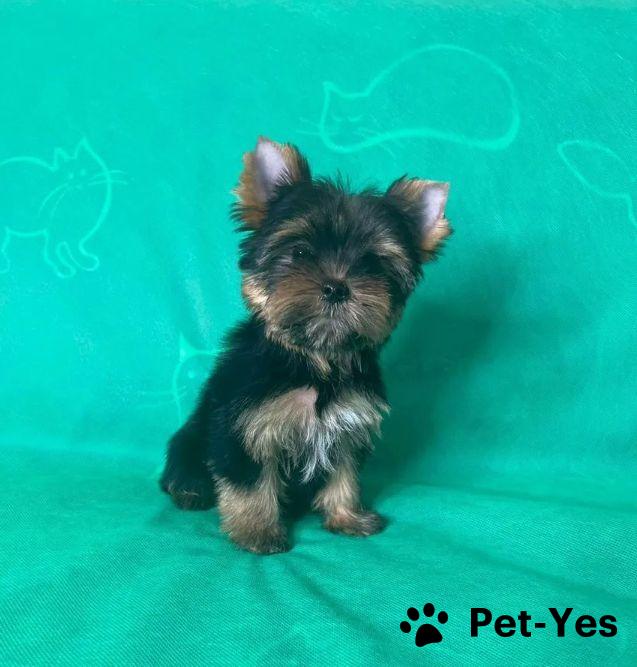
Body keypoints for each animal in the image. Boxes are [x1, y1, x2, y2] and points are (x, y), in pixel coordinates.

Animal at [0, 138, 124, 278]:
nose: (77, 182)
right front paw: (63, 268)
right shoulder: (54, 232)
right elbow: (52, 251)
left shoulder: (74, 236)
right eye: (68, 176)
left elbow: (74, 250)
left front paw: (83, 262)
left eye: (83, 171)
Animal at [160, 137, 451, 554]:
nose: (337, 287)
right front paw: (258, 532)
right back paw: (190, 491)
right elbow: (250, 481)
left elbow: (344, 473)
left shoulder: (348, 423)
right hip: (189, 439)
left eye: (372, 264)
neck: (317, 360)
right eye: (300, 253)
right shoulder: (242, 426)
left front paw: (347, 516)